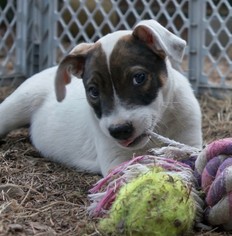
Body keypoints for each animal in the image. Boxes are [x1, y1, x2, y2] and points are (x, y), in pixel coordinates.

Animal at [0, 20, 202, 176]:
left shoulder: (189, 140)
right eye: (93, 91)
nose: (120, 130)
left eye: (139, 78)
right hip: (17, 105)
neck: (161, 123)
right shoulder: (116, 159)